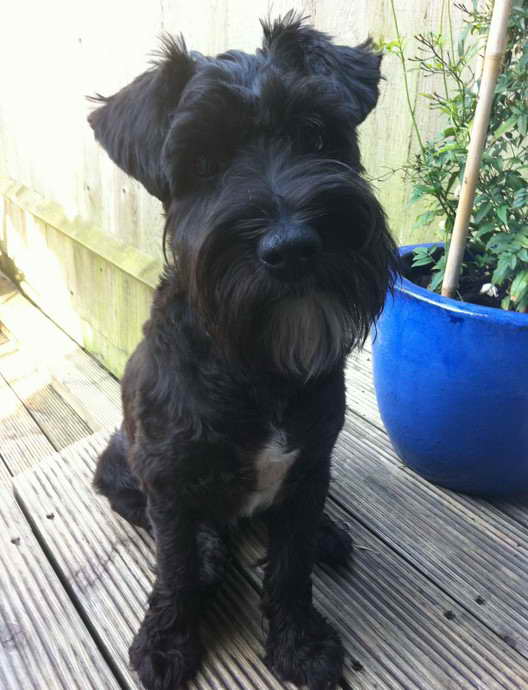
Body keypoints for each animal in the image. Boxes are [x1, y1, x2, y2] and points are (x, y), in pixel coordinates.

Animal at [89, 12, 396, 688]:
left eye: (315, 134)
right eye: (201, 162)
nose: (292, 247)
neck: (255, 364)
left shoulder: (310, 465)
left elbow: (291, 564)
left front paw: (300, 643)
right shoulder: (170, 482)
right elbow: (174, 567)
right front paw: (165, 644)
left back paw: (328, 533)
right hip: (119, 461)